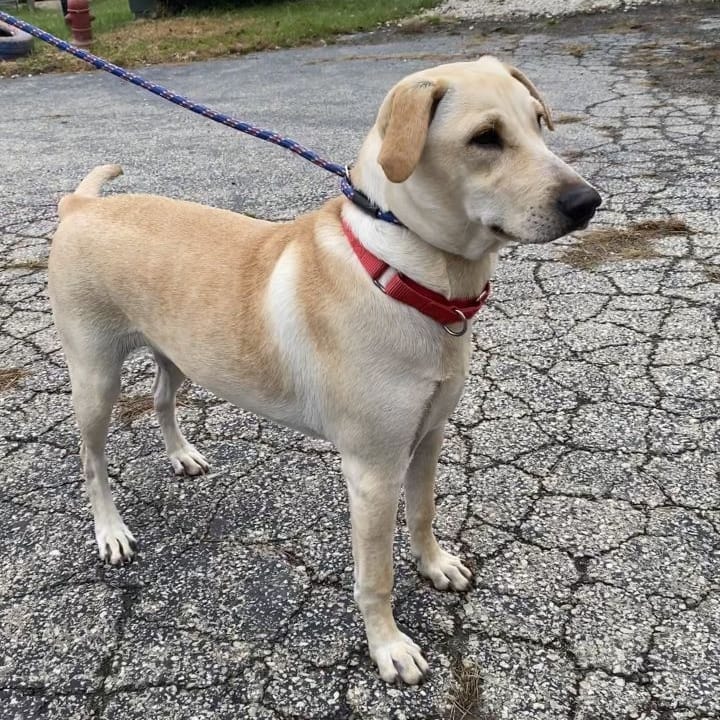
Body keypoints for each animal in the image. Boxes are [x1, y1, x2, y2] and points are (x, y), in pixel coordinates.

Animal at [50, 57, 600, 688]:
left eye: (538, 123)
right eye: (485, 138)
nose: (588, 202)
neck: (401, 274)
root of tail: (82, 205)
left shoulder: (428, 437)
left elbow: (424, 514)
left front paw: (434, 565)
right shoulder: (373, 472)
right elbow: (376, 575)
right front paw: (388, 646)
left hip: (179, 354)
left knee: (163, 399)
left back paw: (181, 455)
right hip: (96, 380)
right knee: (91, 460)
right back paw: (110, 532)